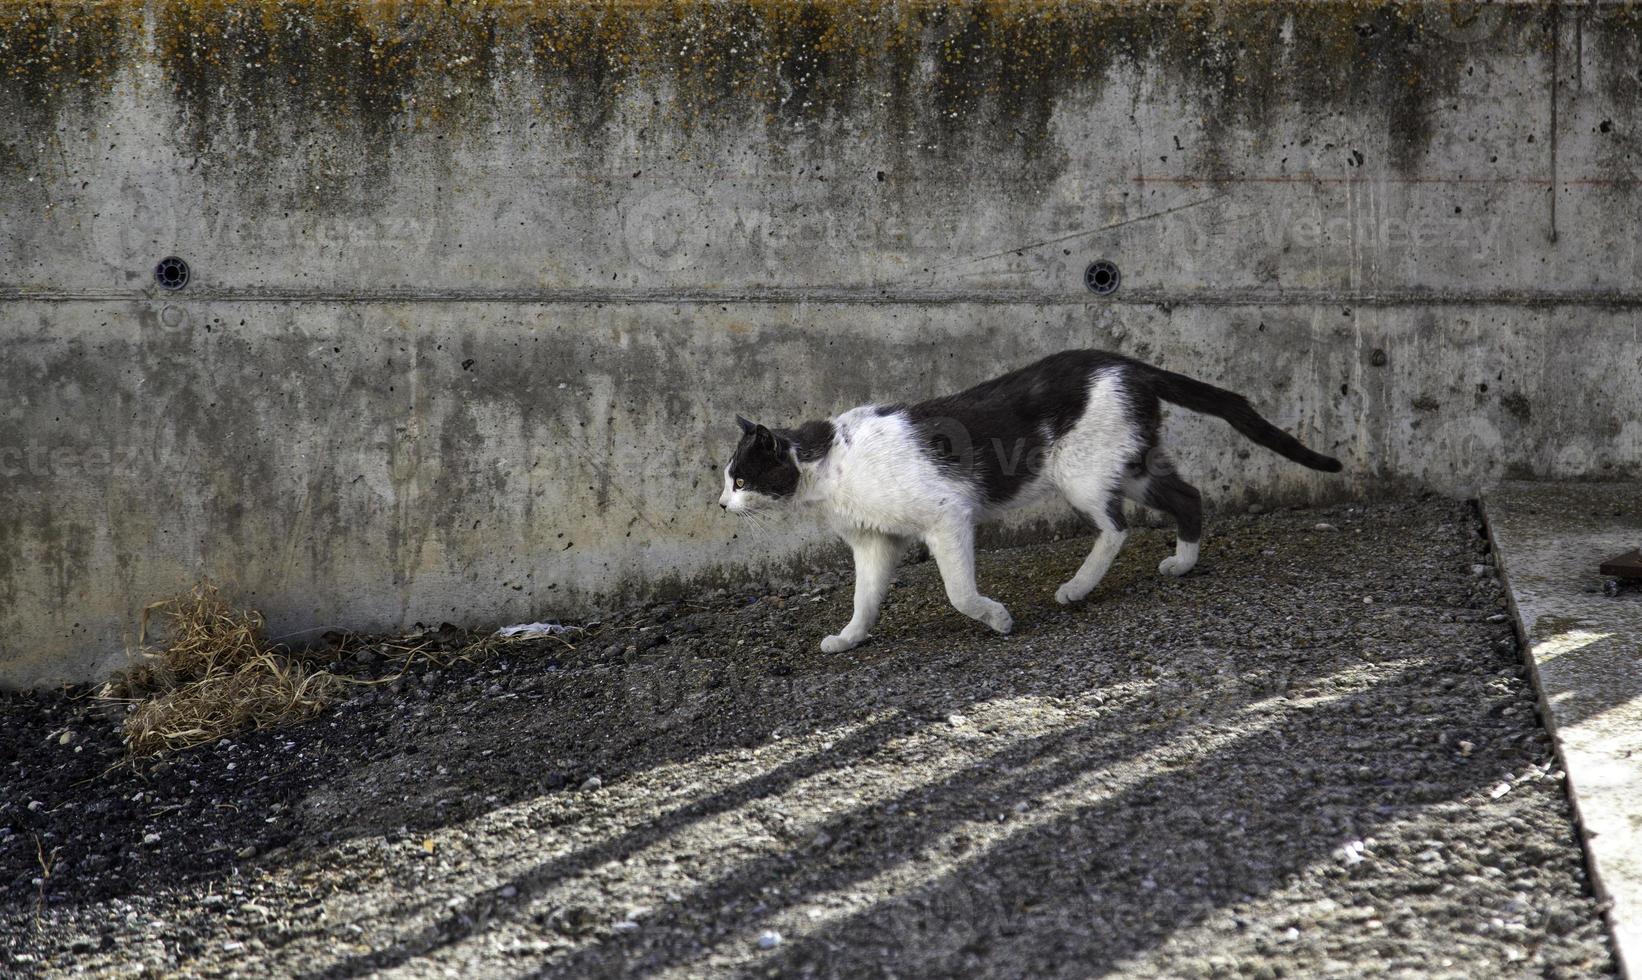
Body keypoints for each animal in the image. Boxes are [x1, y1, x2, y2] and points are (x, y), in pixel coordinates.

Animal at [725, 348, 1339, 653]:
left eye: (740, 480)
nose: (720, 505)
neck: (829, 467)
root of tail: (1128, 363)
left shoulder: (948, 516)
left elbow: (959, 594)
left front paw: (997, 619)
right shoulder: (875, 543)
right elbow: (864, 600)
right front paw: (851, 639)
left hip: (1082, 474)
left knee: (1116, 527)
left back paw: (1077, 588)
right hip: (1130, 464)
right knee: (1188, 497)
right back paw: (1183, 564)